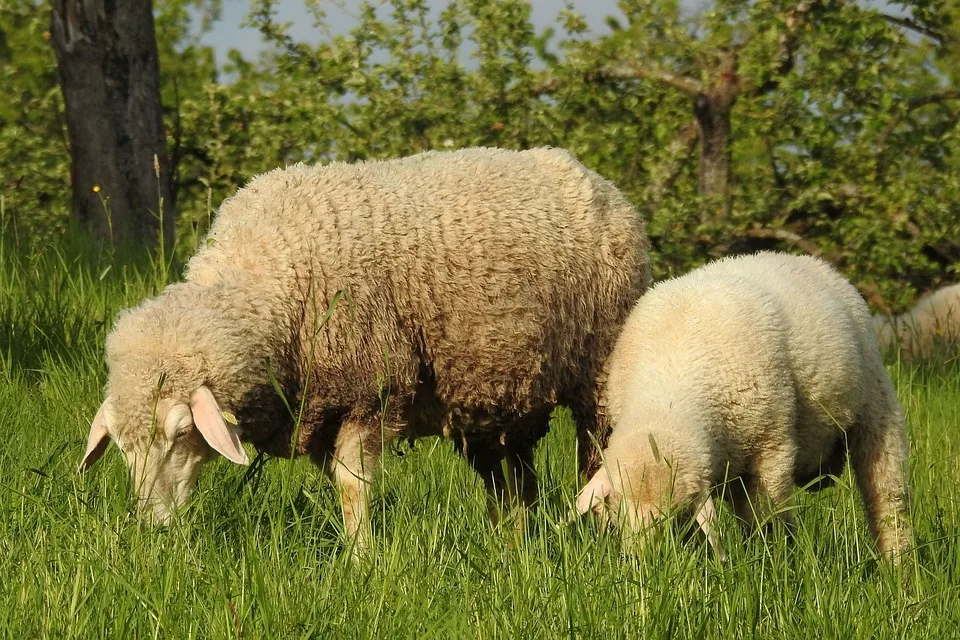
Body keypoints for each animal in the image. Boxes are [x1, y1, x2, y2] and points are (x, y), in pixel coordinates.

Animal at [80, 148, 652, 548]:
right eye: (122, 446)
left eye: (181, 432)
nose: (153, 527)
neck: (266, 281)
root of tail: (591, 177)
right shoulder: (320, 409)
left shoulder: (369, 391)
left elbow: (354, 488)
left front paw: (363, 560)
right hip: (496, 392)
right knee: (513, 482)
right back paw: (514, 544)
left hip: (597, 368)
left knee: (594, 454)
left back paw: (598, 533)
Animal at [572, 250, 912, 560]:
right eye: (617, 506)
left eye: (678, 515)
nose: (642, 562)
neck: (668, 392)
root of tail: (807, 260)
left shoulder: (773, 448)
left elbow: (769, 515)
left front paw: (774, 561)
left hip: (876, 410)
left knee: (888, 503)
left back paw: (898, 568)